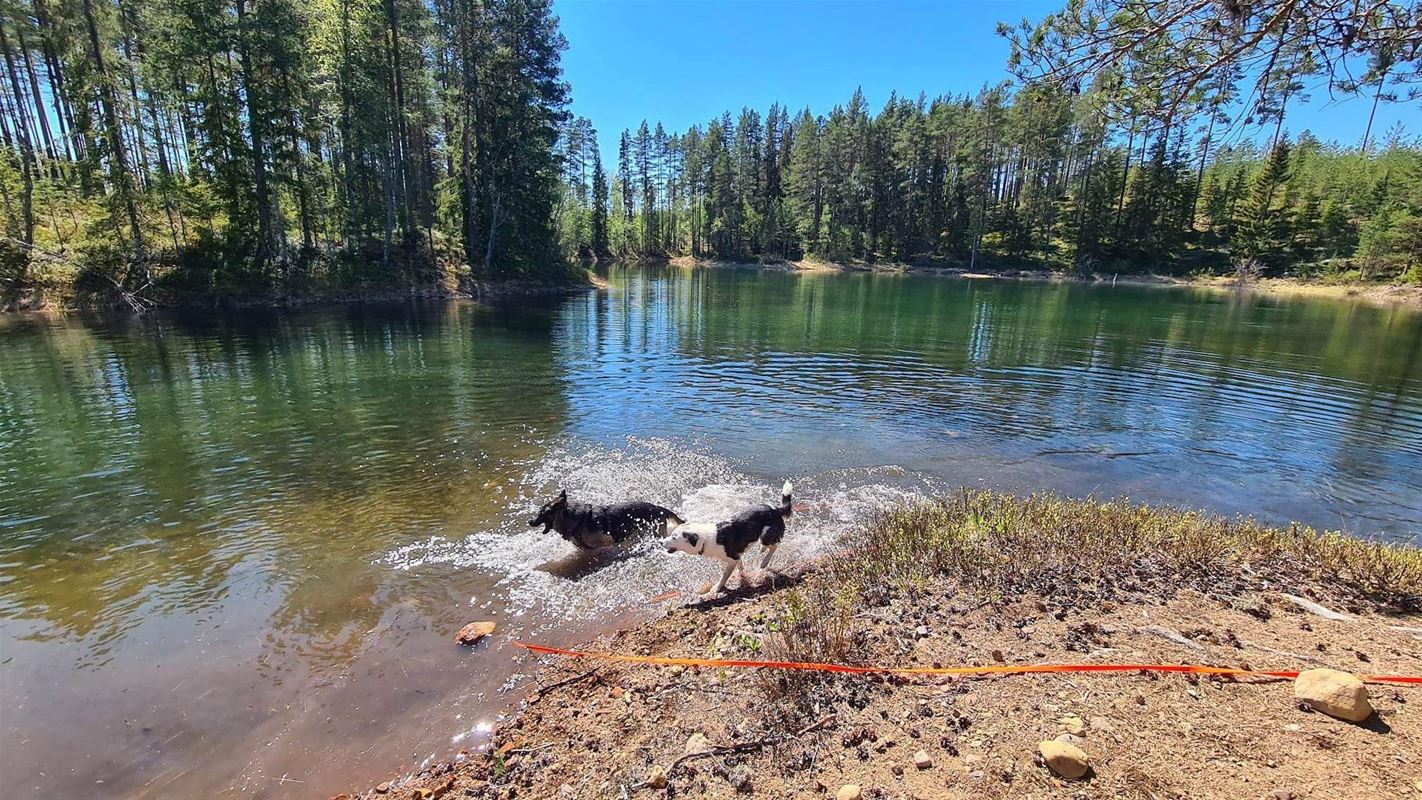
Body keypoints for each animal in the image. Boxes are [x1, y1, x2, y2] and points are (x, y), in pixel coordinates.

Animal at [534, 491, 688, 554]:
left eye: (542, 513)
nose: (530, 521)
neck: (576, 520)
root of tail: (657, 508)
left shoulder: (606, 539)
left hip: (655, 532)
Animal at [662, 483, 796, 593]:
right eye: (672, 535)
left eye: (674, 537)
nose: (661, 542)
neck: (705, 539)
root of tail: (776, 510)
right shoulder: (736, 555)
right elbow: (740, 565)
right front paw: (742, 576)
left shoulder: (731, 557)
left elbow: (724, 575)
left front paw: (717, 588)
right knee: (771, 545)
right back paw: (762, 550)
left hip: (766, 535)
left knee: (775, 545)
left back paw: (764, 562)